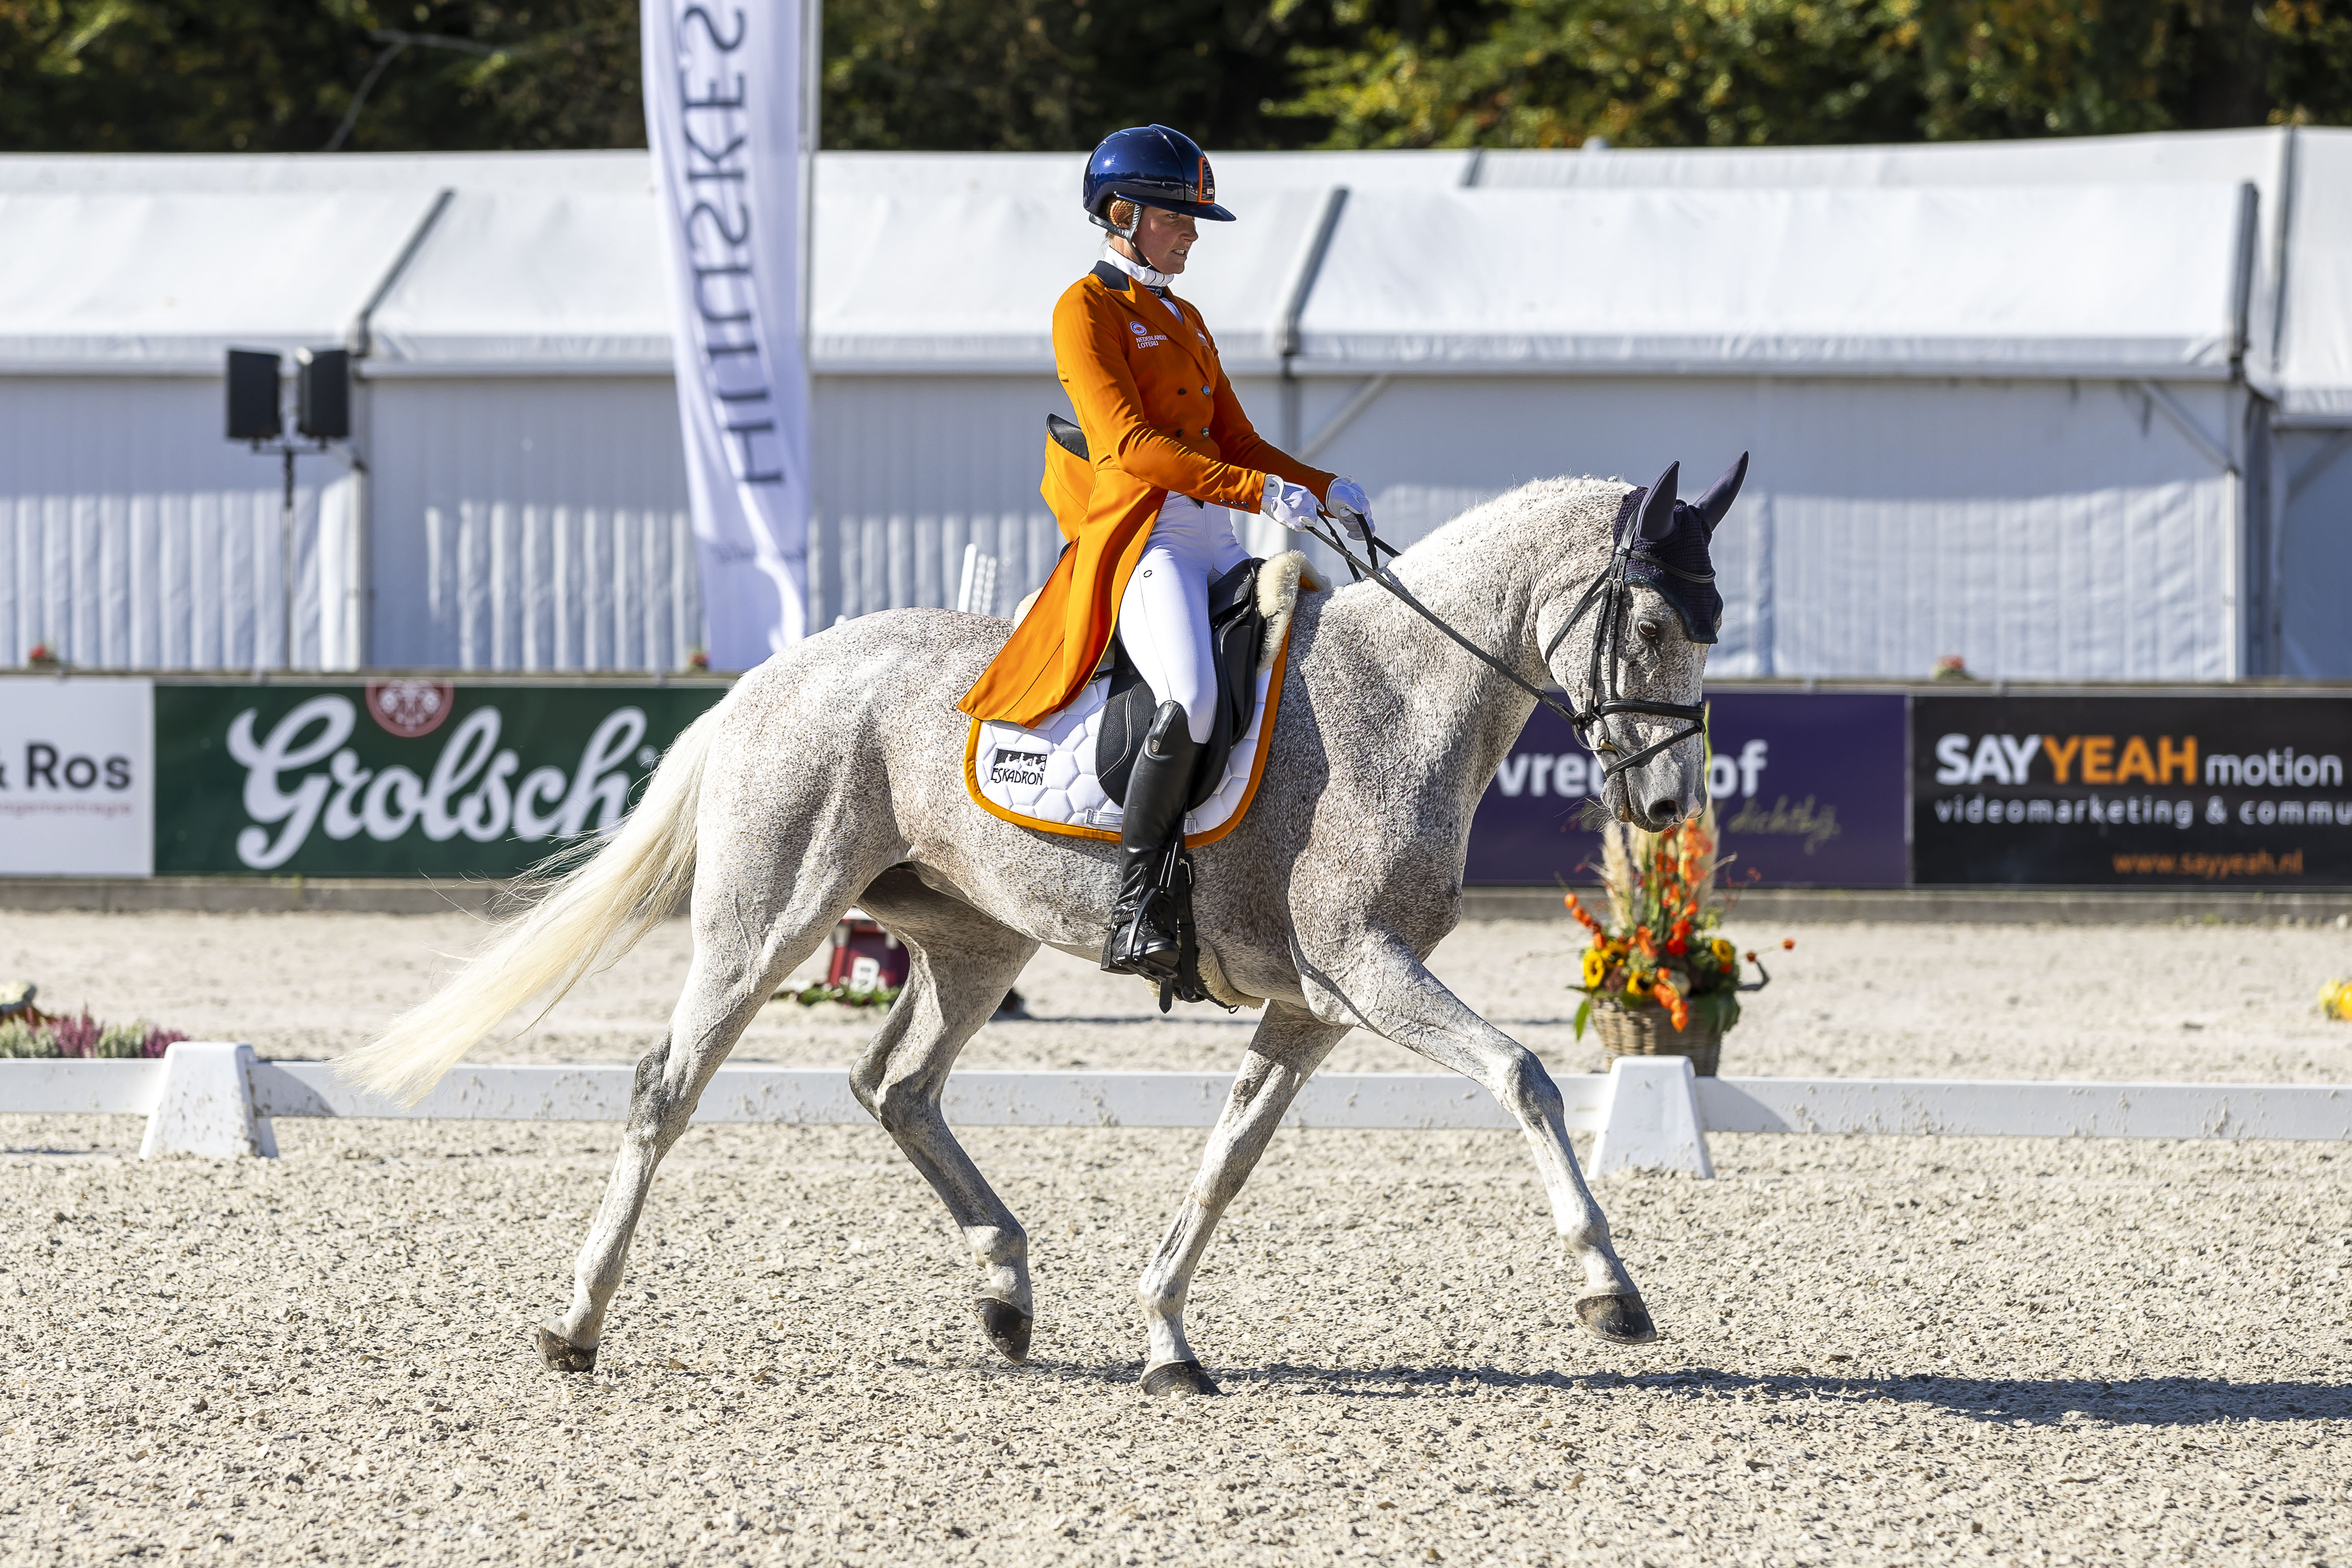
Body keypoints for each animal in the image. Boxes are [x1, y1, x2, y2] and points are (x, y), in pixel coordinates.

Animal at [341, 470, 1731, 1401]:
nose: (1667, 808)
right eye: (1653, 625)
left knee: (895, 1086)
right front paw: (1608, 1289)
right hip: (769, 919)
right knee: (665, 1088)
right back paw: (575, 1324)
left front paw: (1165, 1337)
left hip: (973, 940)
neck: (1398, 700)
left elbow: (1226, 1161)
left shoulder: (1310, 1004)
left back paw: (1004, 1292)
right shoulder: (1363, 971)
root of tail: (769, 680)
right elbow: (1525, 1076)